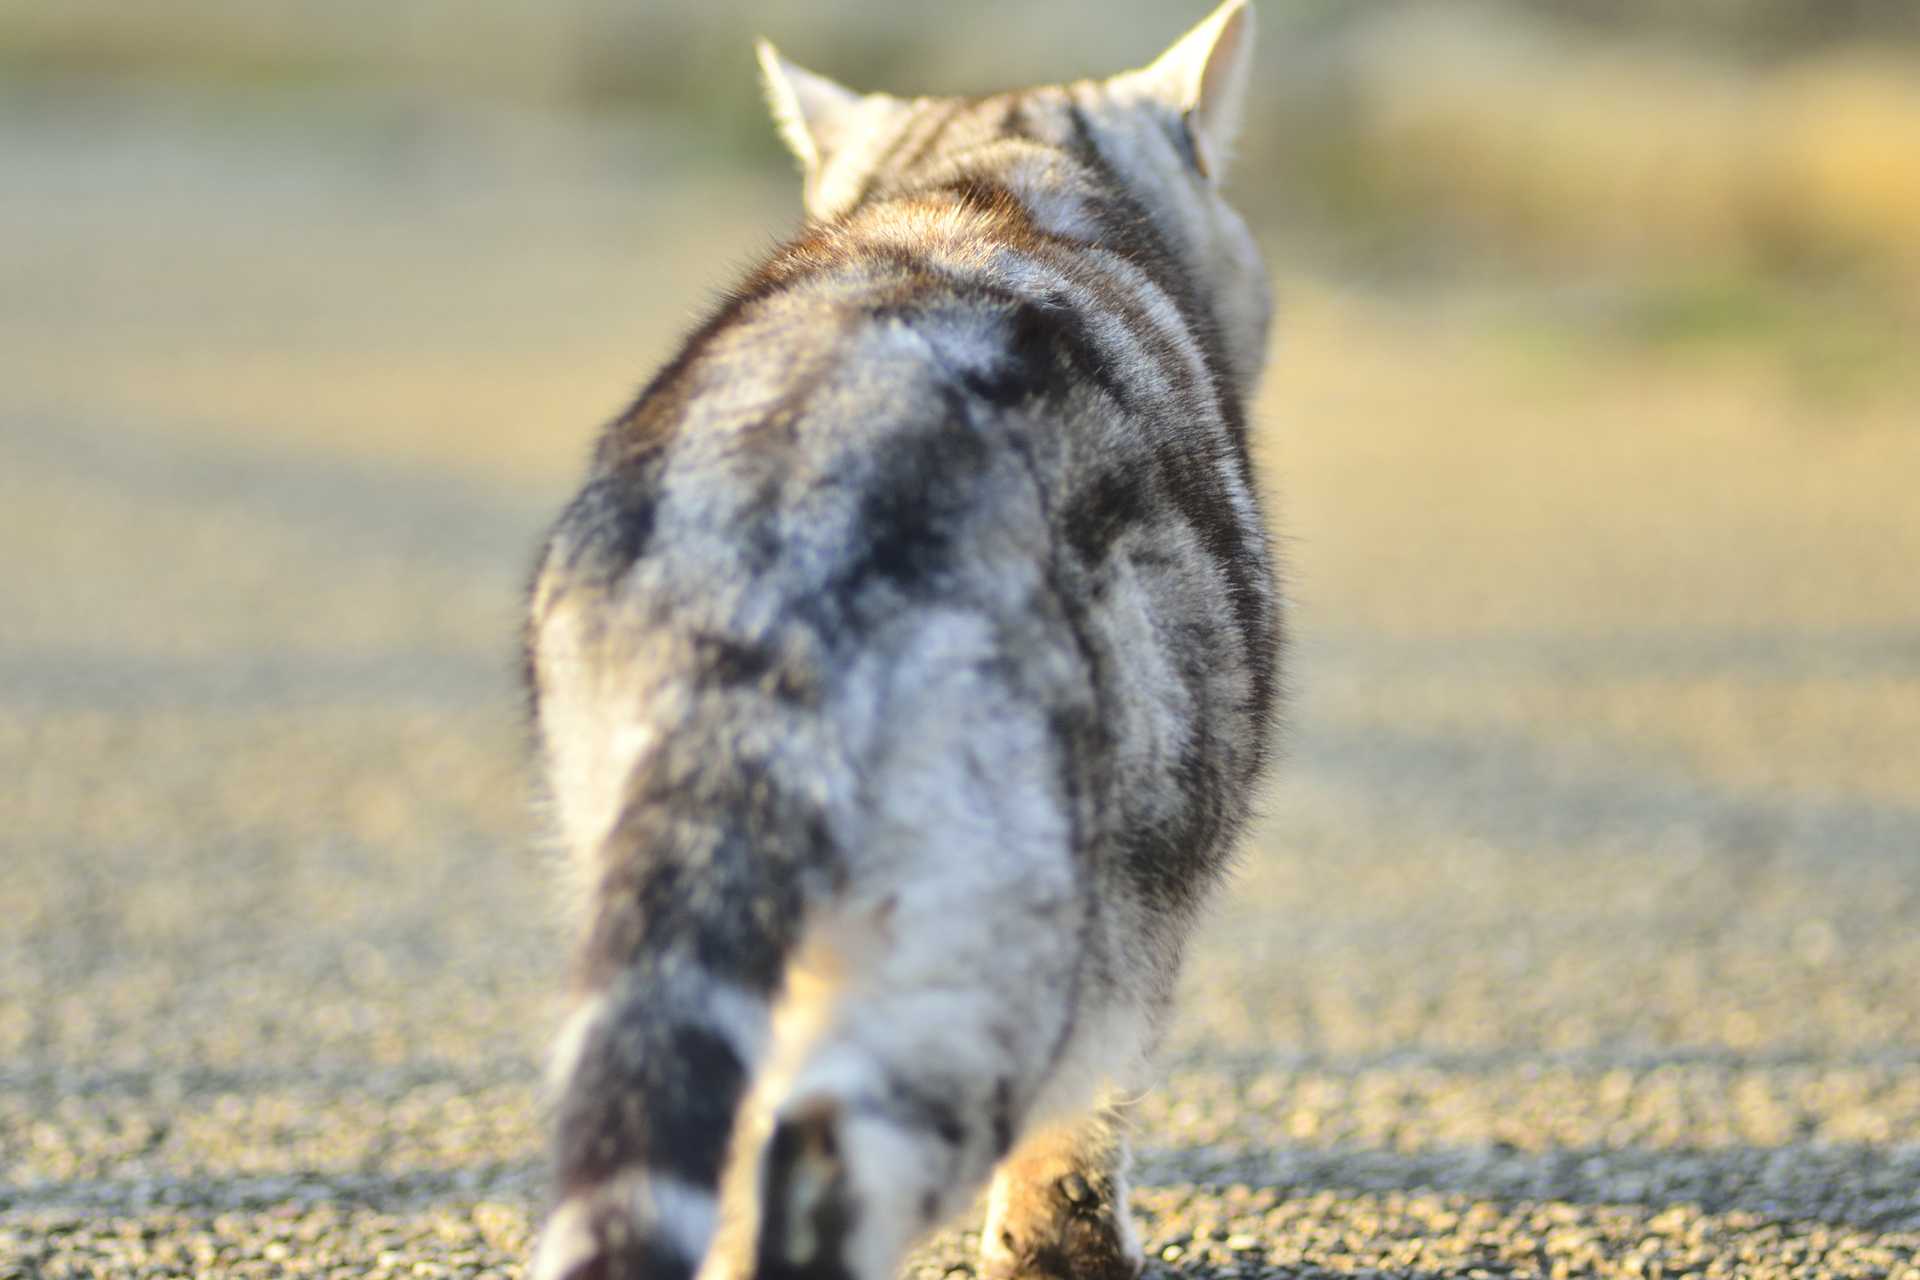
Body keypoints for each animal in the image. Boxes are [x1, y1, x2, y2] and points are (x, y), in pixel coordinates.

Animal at [518, 5, 1282, 1274]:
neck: (992, 177)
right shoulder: (1144, 911)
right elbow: (1085, 1125)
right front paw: (1066, 1247)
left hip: (658, 876)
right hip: (998, 926)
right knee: (837, 1156)